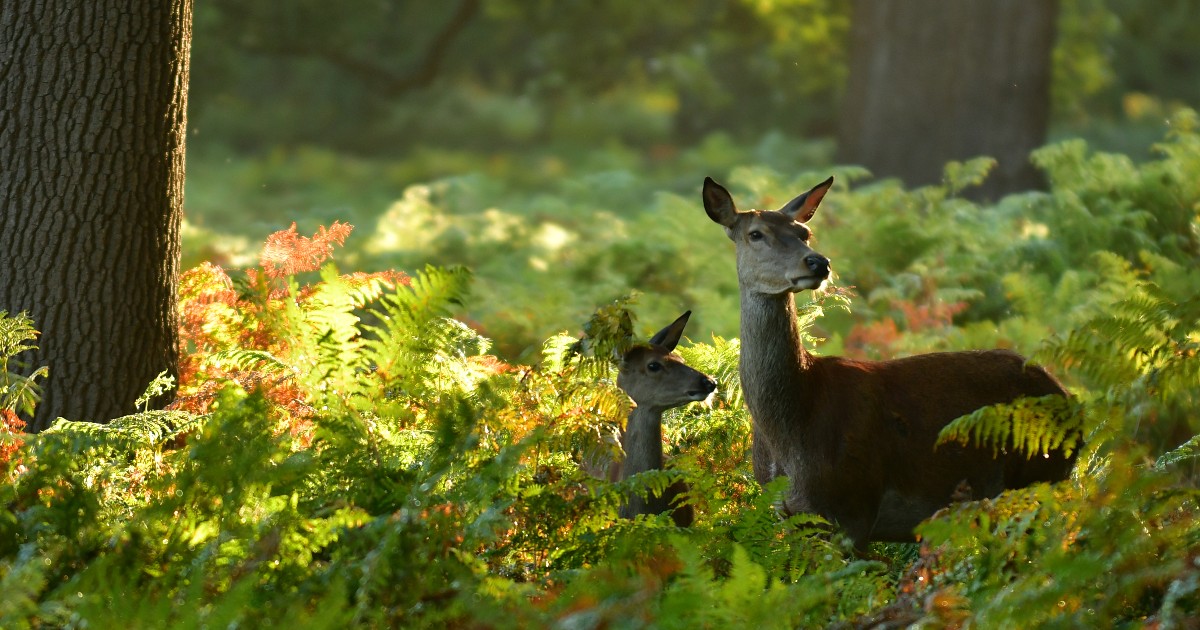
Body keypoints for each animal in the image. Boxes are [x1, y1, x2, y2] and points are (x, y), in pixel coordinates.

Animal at [701, 175, 1076, 548]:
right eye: (755, 234)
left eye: (804, 232)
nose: (818, 262)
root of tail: (1068, 397)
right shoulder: (792, 518)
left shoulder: (854, 508)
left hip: (1038, 478)